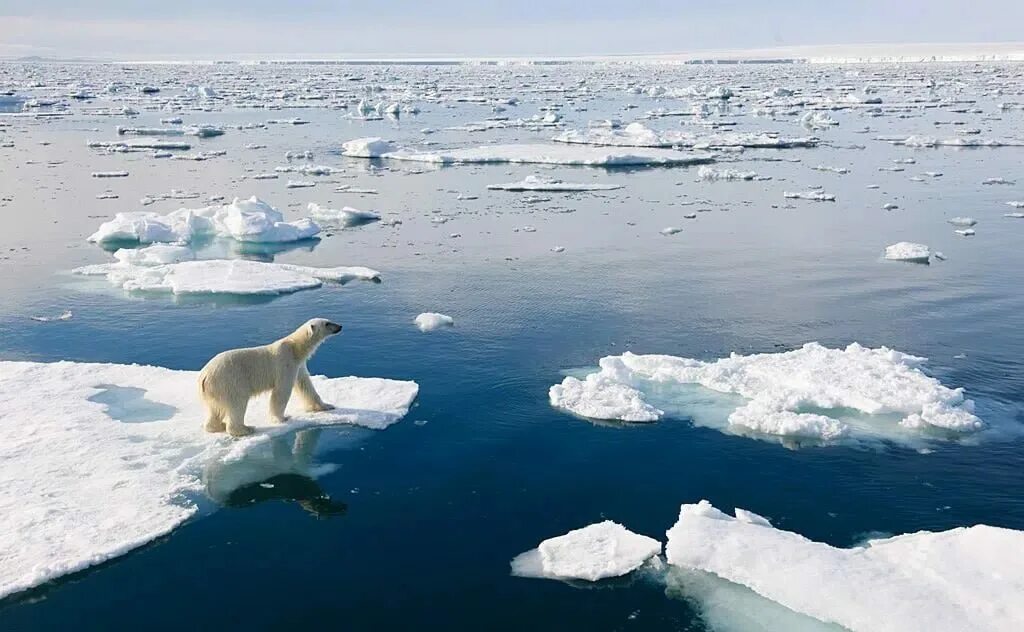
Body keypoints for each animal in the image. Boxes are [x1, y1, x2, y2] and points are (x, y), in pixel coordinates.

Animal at [197, 317, 342, 436]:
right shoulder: (285, 362)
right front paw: (283, 418)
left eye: (328, 320)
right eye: (327, 323)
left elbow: (306, 385)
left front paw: (326, 406)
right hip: (229, 381)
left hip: (214, 390)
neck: (295, 348)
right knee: (237, 402)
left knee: (214, 409)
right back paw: (246, 429)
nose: (340, 326)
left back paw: (217, 426)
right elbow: (281, 391)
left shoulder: (298, 365)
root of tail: (204, 376)